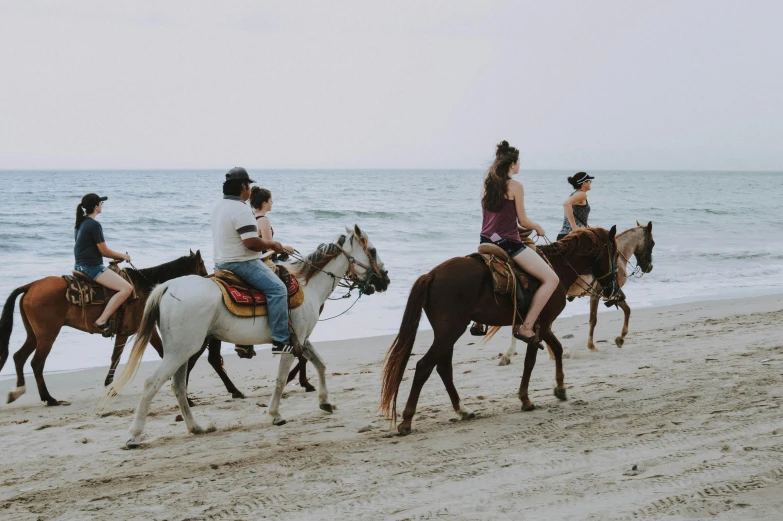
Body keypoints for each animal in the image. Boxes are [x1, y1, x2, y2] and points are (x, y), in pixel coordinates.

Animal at [0, 252, 243, 406]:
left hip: (34, 334)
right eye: (201, 267)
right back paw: (48, 398)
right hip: (47, 334)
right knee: (36, 362)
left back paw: (18, 391)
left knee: (20, 356)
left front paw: (110, 386)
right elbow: (151, 355)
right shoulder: (137, 332)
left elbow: (118, 358)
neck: (145, 288)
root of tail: (30, 286)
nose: (213, 281)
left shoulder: (131, 333)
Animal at [101, 223, 388, 446]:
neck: (307, 285)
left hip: (182, 350)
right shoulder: (289, 343)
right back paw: (134, 435)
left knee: (178, 385)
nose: (385, 279)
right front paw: (275, 415)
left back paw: (195, 427)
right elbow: (281, 380)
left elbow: (320, 364)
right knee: (153, 383)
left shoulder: (302, 339)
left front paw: (325, 402)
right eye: (372, 250)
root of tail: (168, 286)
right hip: (182, 350)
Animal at [380, 225, 620, 432]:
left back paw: (462, 410)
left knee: (443, 368)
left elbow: (554, 351)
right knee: (424, 366)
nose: (613, 289)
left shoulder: (540, 326)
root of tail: (431, 275)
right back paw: (407, 420)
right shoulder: (540, 325)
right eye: (615, 254)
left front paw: (558, 388)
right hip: (449, 332)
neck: (557, 269)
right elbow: (533, 360)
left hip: (447, 334)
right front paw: (529, 398)